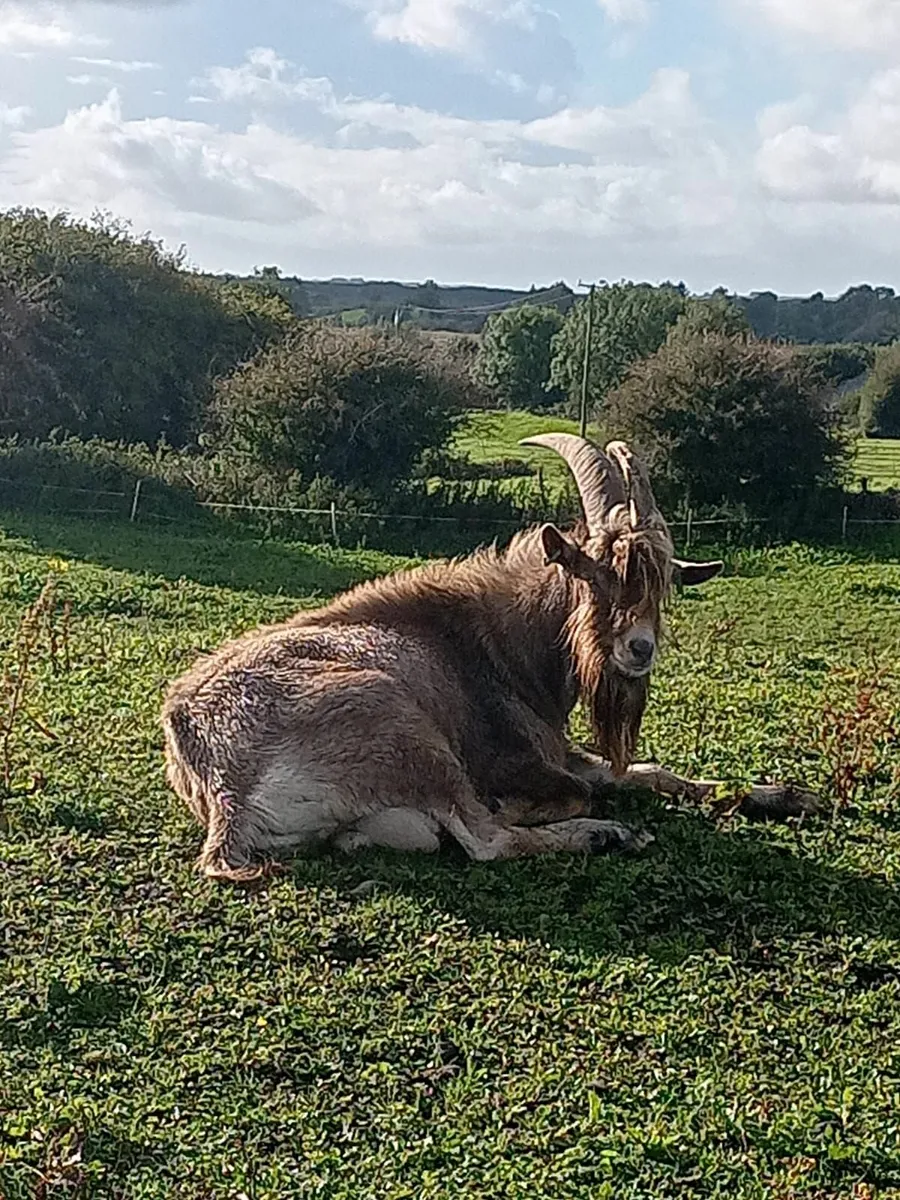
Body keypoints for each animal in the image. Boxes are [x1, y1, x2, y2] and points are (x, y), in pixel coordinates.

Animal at [161, 434, 810, 882]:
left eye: (661, 584)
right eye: (593, 574)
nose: (638, 649)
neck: (497, 645)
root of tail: (222, 782)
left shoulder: (560, 750)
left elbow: (650, 772)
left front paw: (787, 795)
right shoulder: (521, 759)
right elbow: (581, 789)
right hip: (405, 730)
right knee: (484, 841)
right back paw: (607, 835)